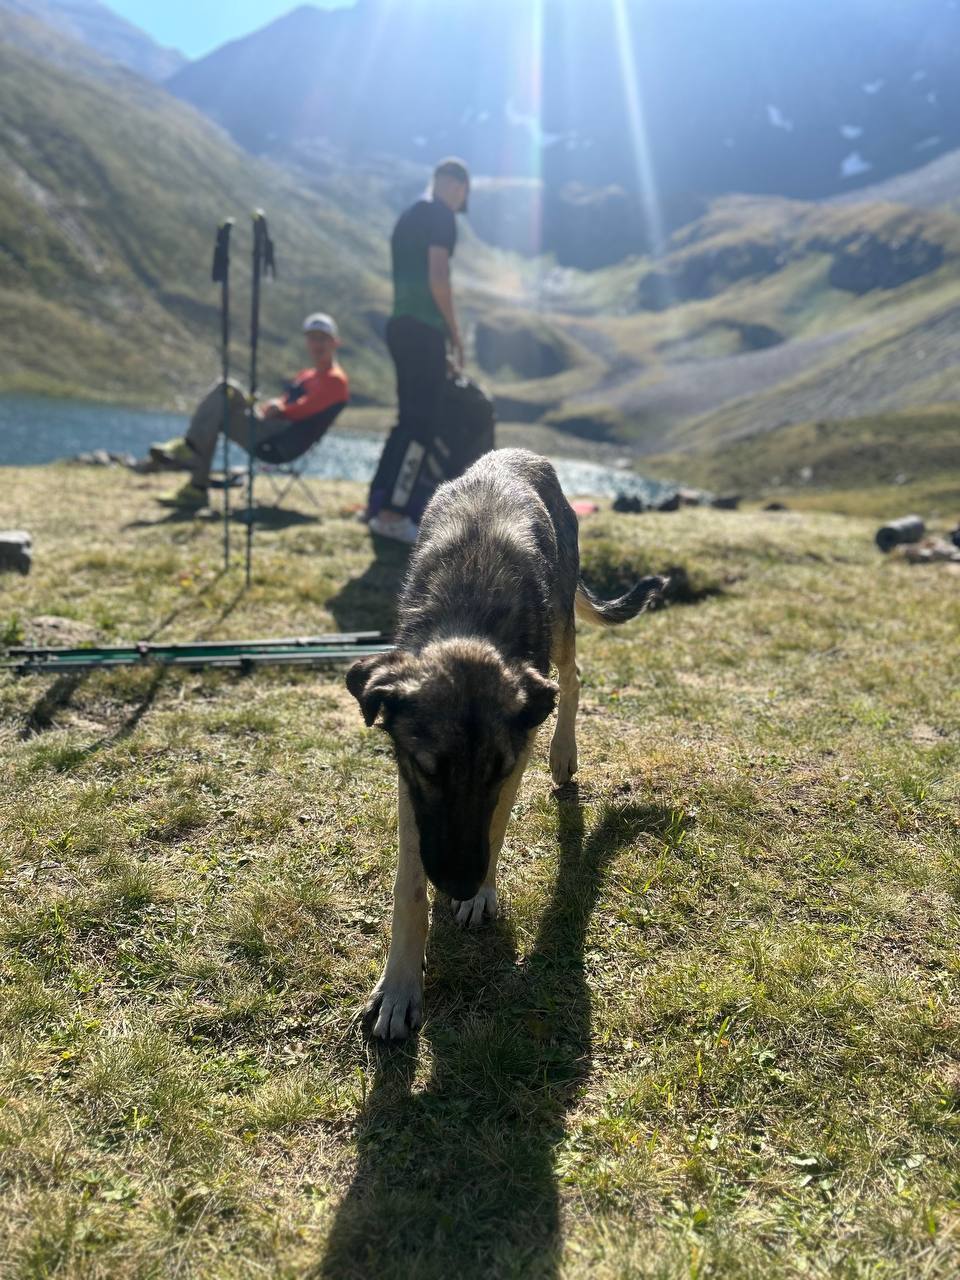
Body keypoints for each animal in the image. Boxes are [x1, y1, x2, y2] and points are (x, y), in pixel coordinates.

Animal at [348, 450, 670, 1039]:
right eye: (429, 769)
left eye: (495, 772)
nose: (457, 882)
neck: (469, 618)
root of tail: (521, 454)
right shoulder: (411, 783)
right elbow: (409, 886)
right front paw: (400, 986)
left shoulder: (517, 748)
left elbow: (495, 824)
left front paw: (481, 895)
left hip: (561, 623)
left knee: (573, 676)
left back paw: (564, 753)